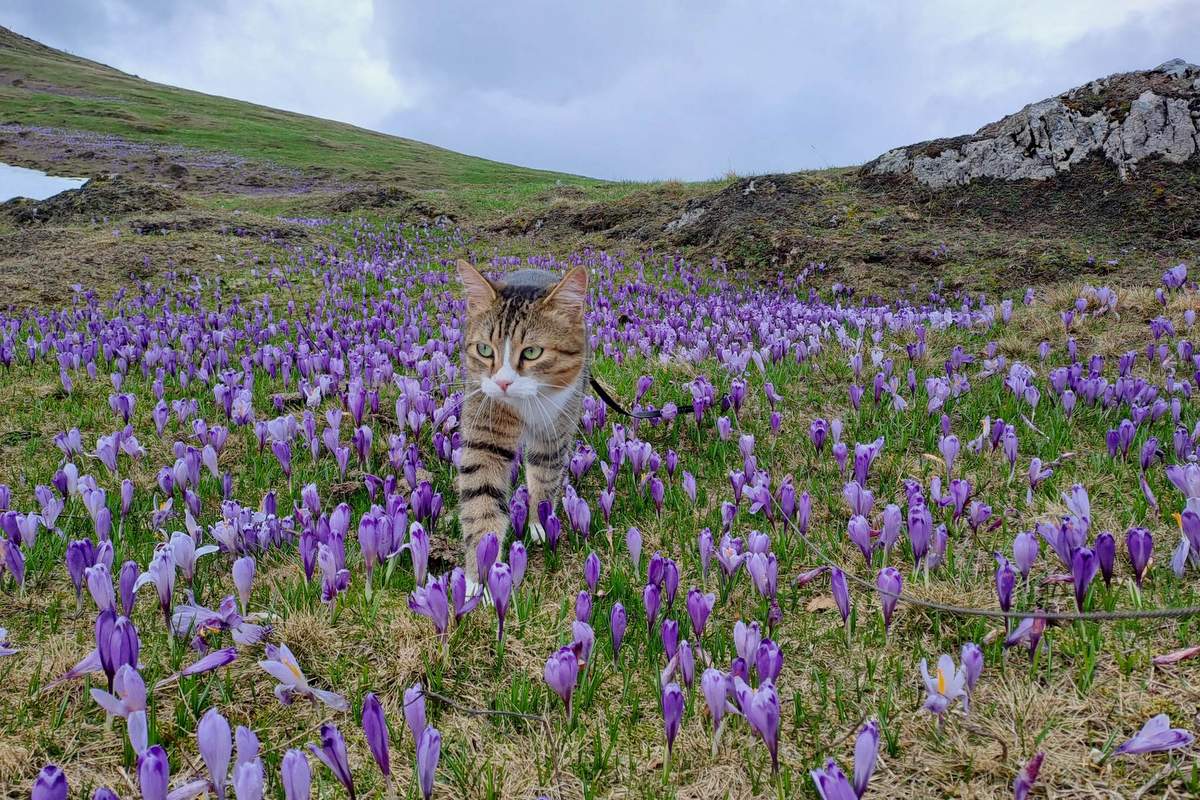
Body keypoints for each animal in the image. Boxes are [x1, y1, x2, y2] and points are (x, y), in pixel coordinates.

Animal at [453, 260, 590, 592]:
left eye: (531, 352)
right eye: (484, 350)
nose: (503, 383)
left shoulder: (554, 431)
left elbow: (543, 477)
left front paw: (540, 525)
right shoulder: (485, 427)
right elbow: (480, 496)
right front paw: (477, 579)